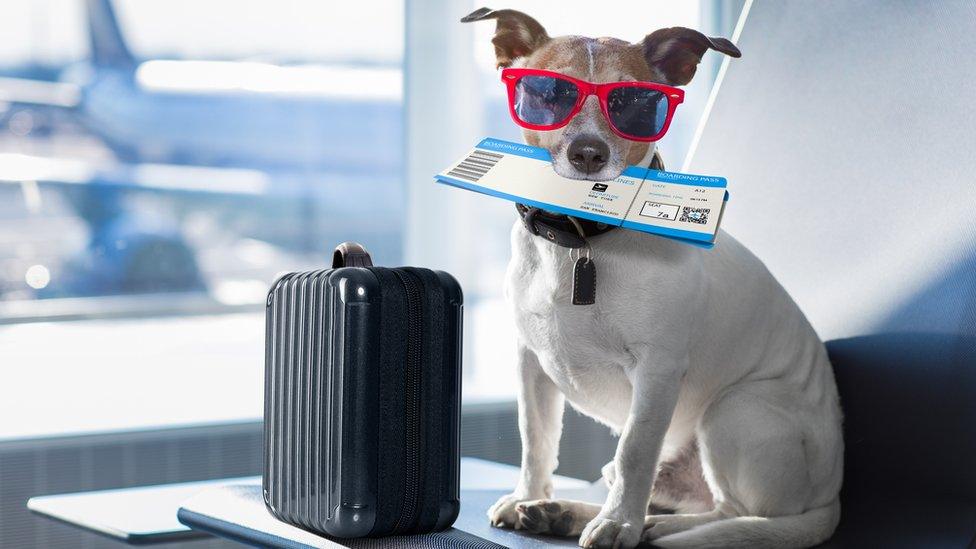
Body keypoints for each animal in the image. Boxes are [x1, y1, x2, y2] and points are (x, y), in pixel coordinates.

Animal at [462, 8, 844, 548]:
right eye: (548, 92)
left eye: (636, 102)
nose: (588, 153)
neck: (581, 240)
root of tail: (831, 497)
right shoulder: (530, 364)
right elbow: (535, 440)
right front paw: (526, 496)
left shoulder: (657, 372)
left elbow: (635, 452)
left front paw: (619, 524)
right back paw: (563, 511)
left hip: (735, 409)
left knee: (731, 513)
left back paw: (648, 526)